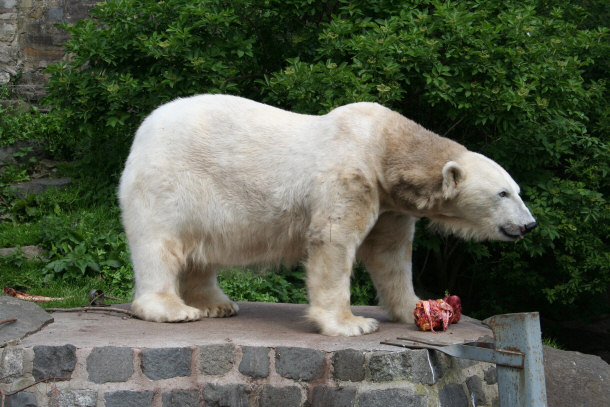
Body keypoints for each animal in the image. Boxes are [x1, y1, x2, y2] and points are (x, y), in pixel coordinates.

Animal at [117, 95, 532, 338]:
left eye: (518, 190)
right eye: (502, 193)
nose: (529, 225)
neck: (385, 146)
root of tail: (142, 130)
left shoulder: (389, 204)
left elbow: (391, 255)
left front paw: (414, 306)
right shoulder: (349, 176)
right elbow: (334, 243)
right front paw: (352, 324)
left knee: (203, 248)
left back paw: (216, 303)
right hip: (171, 180)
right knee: (160, 244)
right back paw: (172, 309)